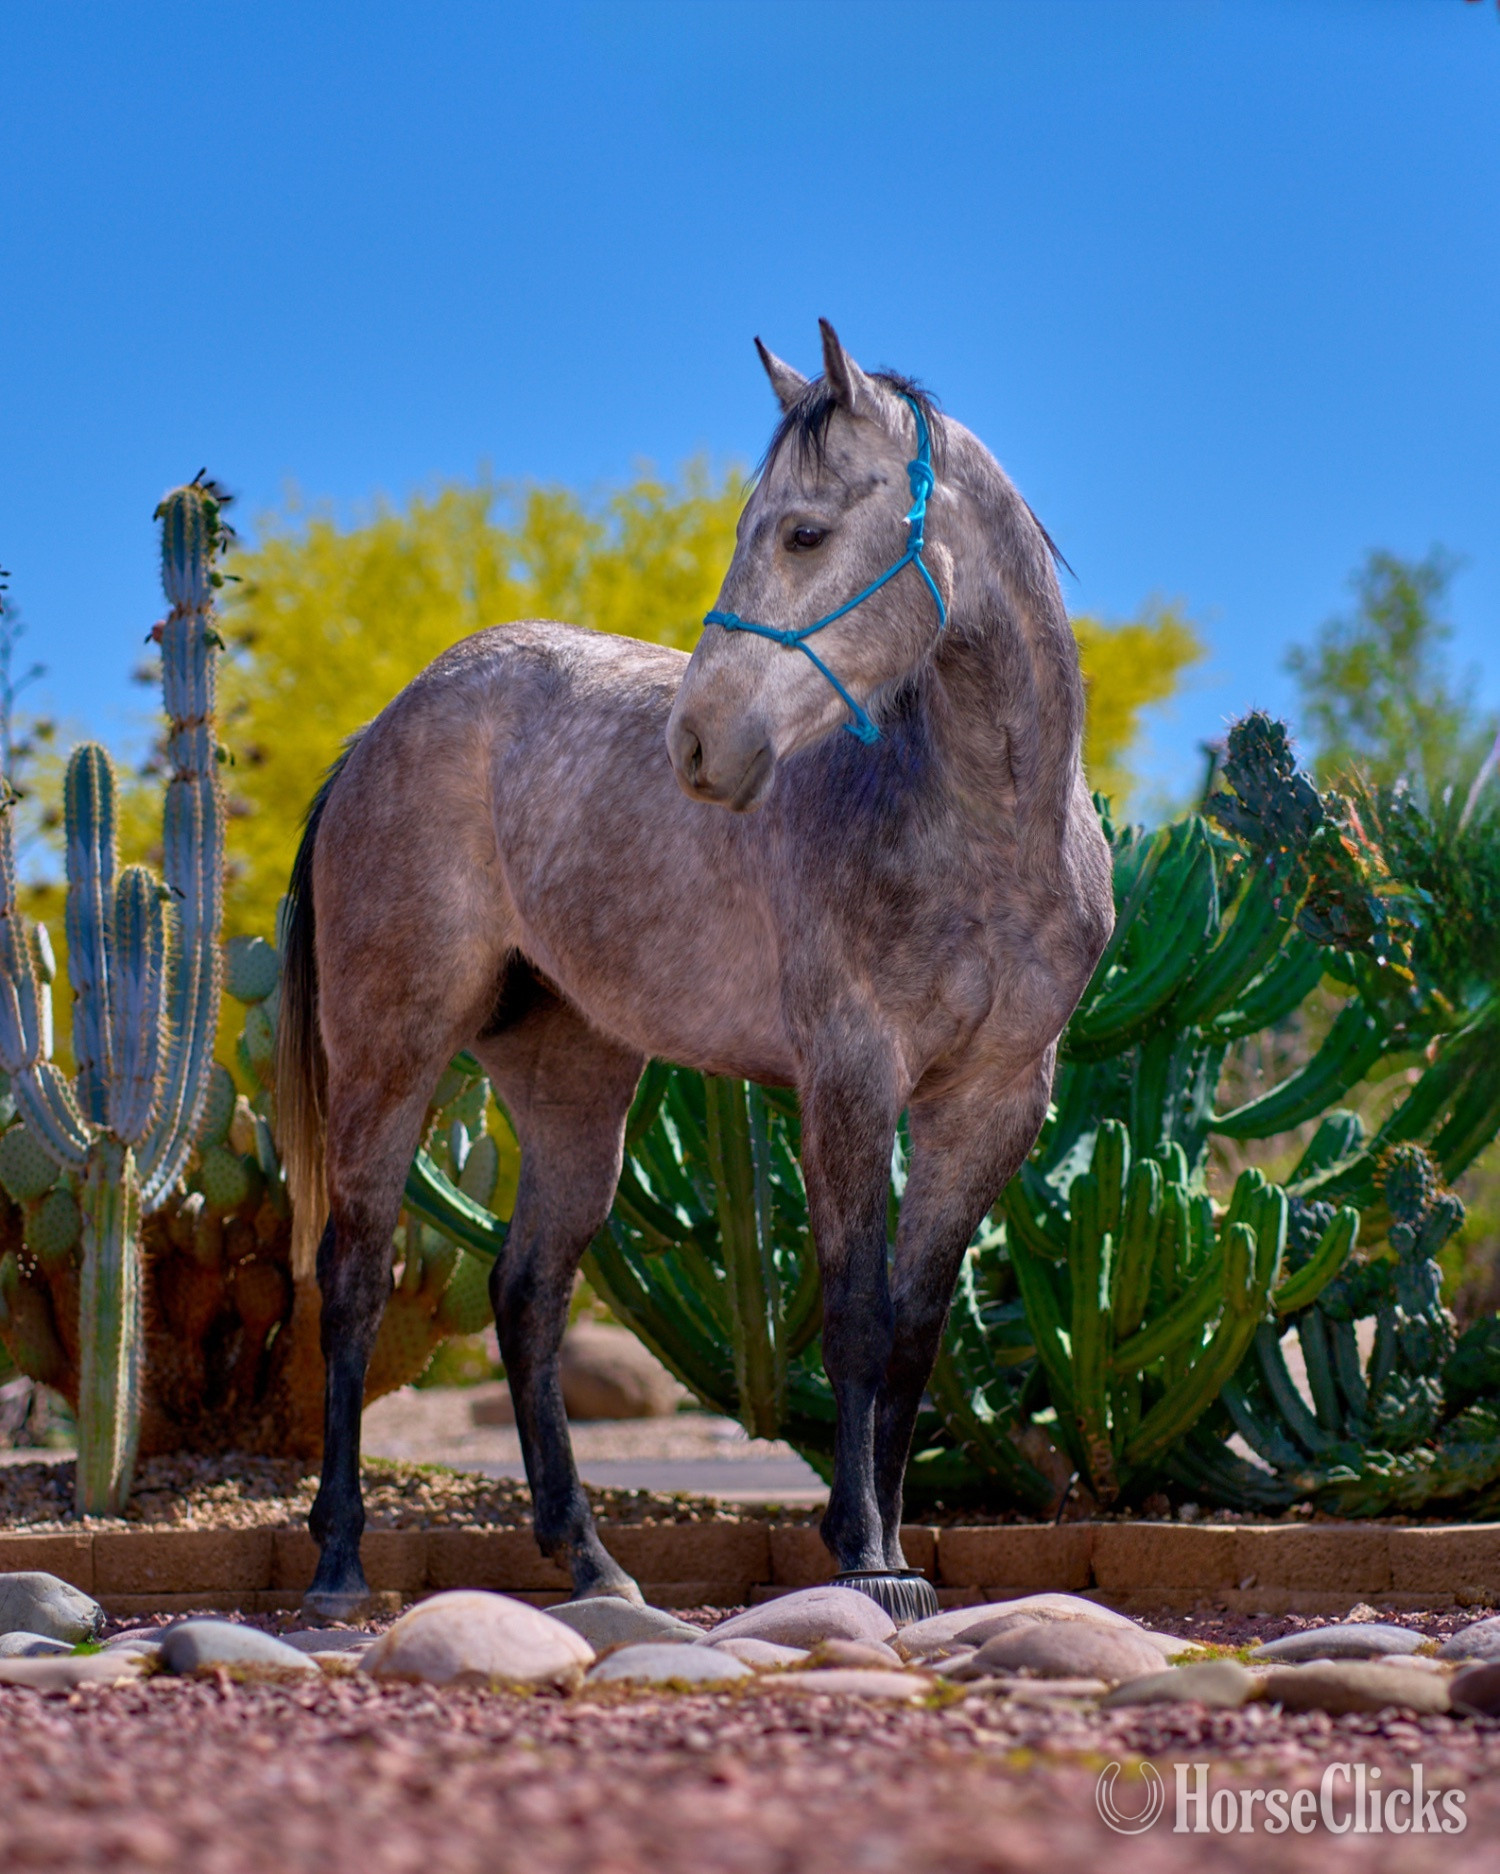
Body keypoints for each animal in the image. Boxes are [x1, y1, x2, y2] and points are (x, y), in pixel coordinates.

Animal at [277, 321, 1114, 1620]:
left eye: (805, 533)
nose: (700, 745)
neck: (980, 828)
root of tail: (381, 729)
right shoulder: (849, 1079)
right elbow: (858, 1317)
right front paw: (868, 1558)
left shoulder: (995, 1103)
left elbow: (919, 1331)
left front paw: (885, 1540)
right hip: (390, 1050)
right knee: (354, 1275)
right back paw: (339, 1560)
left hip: (571, 1075)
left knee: (527, 1294)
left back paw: (591, 1559)